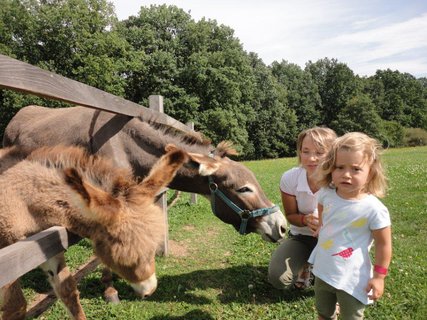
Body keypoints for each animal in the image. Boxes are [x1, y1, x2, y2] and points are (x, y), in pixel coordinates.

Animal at [0, 146, 189, 320]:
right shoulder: (10, 261)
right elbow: (16, 306)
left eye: (153, 250)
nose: (150, 291)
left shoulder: (46, 247)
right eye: (124, 258)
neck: (23, 200)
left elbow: (68, 290)